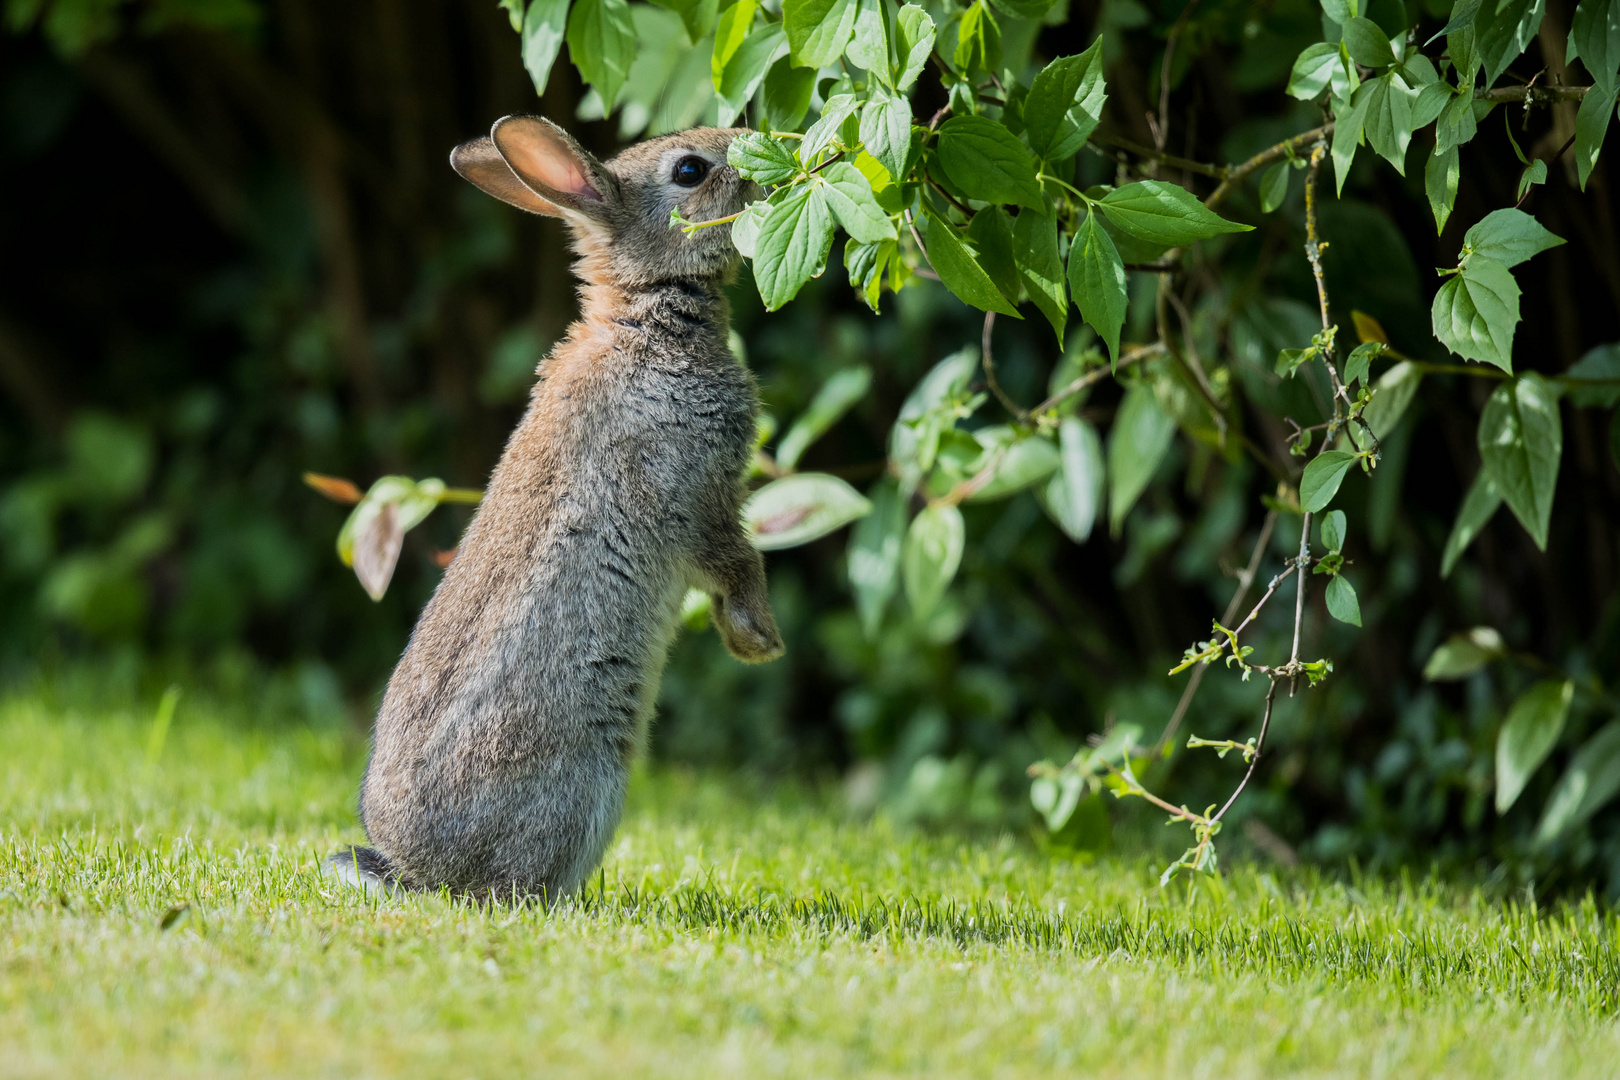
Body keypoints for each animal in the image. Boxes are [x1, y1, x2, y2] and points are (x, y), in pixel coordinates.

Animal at [325, 114, 780, 900]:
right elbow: (735, 562)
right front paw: (761, 641)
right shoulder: (695, 496)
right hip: (587, 779)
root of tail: (419, 870)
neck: (644, 316)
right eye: (690, 170)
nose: (757, 148)